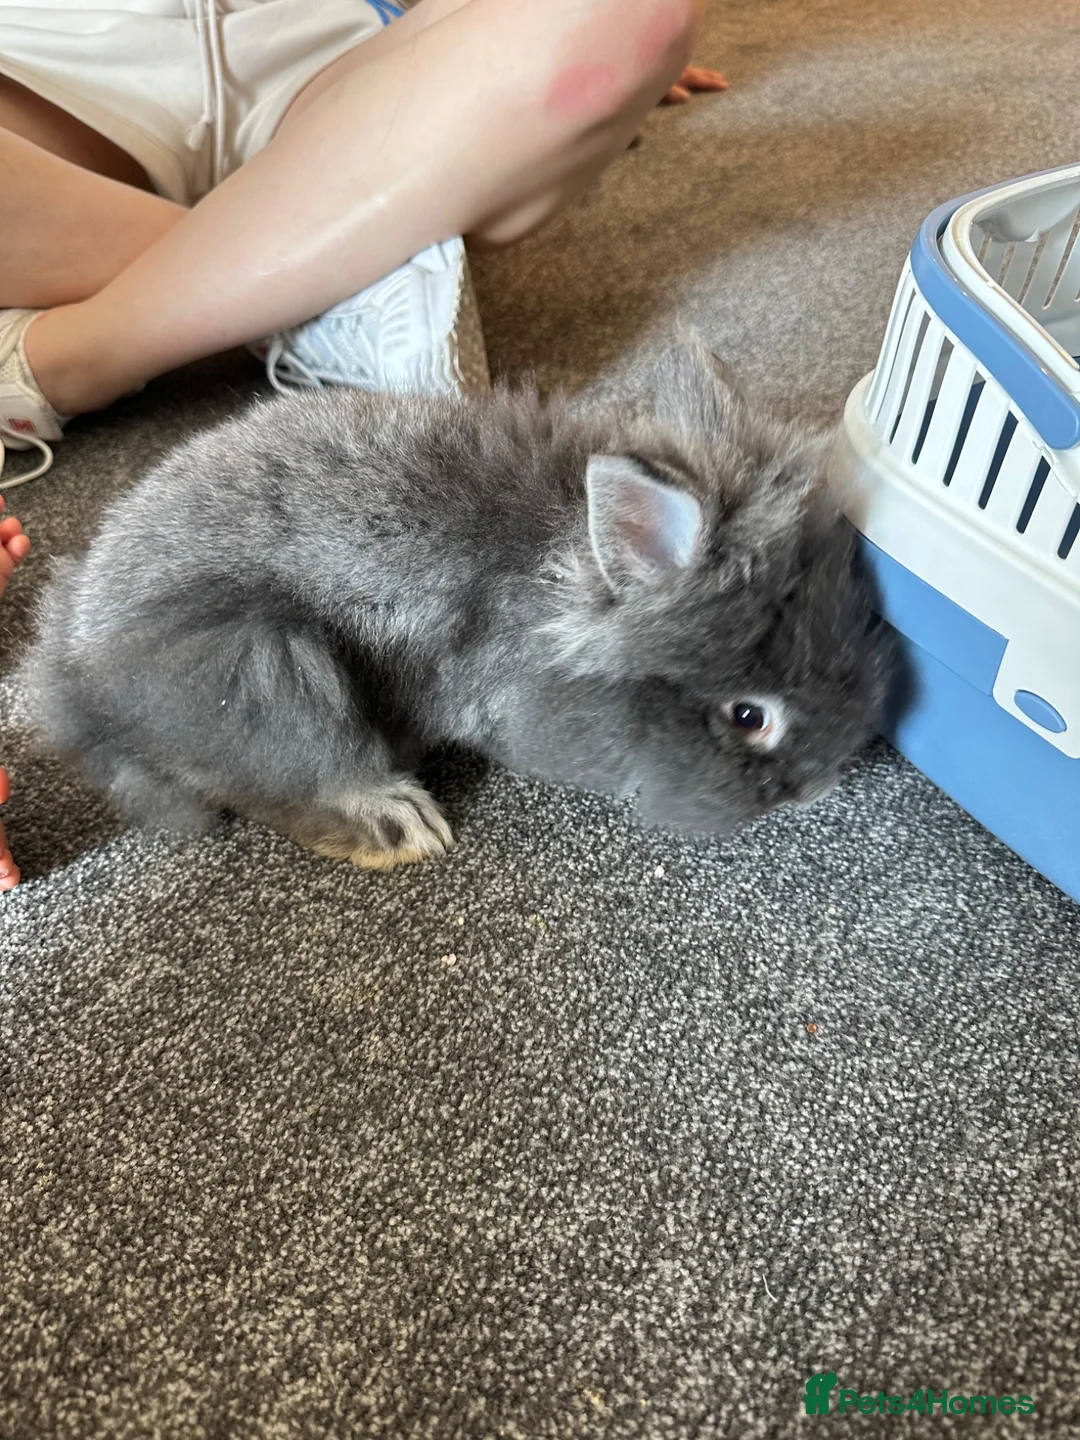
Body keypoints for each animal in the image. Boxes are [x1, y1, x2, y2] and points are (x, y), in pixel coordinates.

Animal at [19, 335, 889, 870]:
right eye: (749, 717)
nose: (825, 782)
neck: (554, 573)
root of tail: (71, 675)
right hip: (264, 668)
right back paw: (398, 824)